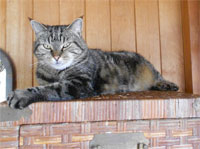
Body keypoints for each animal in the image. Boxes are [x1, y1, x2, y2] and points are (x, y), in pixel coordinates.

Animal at [6, 17, 178, 109]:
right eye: (47, 46)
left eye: (66, 45)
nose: (56, 57)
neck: (57, 73)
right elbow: (46, 85)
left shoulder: (79, 83)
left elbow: (50, 88)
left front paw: (21, 94)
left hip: (149, 68)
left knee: (158, 76)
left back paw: (166, 84)